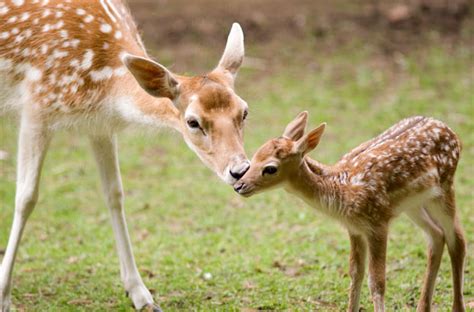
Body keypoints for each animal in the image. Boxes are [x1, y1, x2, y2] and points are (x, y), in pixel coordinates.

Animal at [0, 1, 250, 310]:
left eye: (244, 111)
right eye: (193, 122)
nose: (240, 169)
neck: (102, 85)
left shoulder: (100, 124)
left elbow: (114, 194)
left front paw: (141, 294)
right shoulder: (36, 105)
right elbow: (26, 197)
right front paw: (3, 296)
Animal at [235, 112, 464, 312]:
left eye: (270, 168)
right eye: (253, 157)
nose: (239, 185)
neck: (342, 190)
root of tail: (452, 133)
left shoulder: (378, 222)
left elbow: (377, 281)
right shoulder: (354, 228)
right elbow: (356, 273)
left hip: (445, 186)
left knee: (457, 239)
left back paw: (457, 307)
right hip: (414, 204)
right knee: (437, 236)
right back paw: (423, 307)